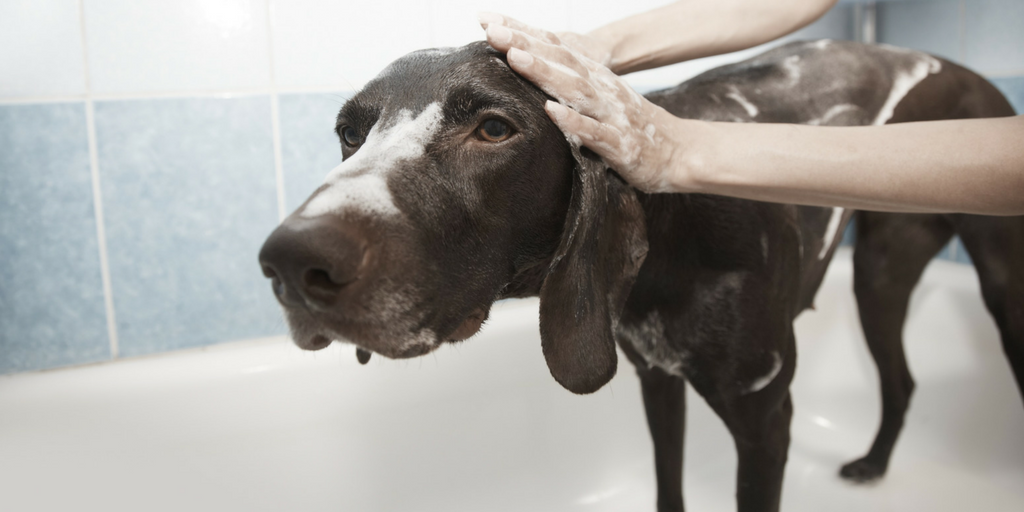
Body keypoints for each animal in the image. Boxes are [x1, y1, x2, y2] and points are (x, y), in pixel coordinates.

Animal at [260, 40, 1019, 512]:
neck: (674, 239)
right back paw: (875, 464)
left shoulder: (766, 421)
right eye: (350, 133)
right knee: (902, 379)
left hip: (972, 284)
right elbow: (668, 484)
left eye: (494, 129)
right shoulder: (657, 381)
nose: (290, 261)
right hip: (880, 277)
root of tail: (972, 74)